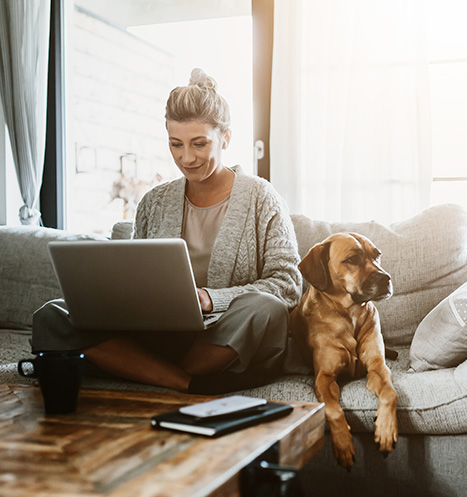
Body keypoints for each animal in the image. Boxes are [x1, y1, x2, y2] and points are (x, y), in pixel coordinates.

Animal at [292, 232, 398, 468]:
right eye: (352, 259)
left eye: (377, 255)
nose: (386, 278)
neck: (351, 314)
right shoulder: (324, 377)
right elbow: (332, 409)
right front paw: (343, 443)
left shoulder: (378, 367)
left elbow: (390, 393)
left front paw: (385, 429)